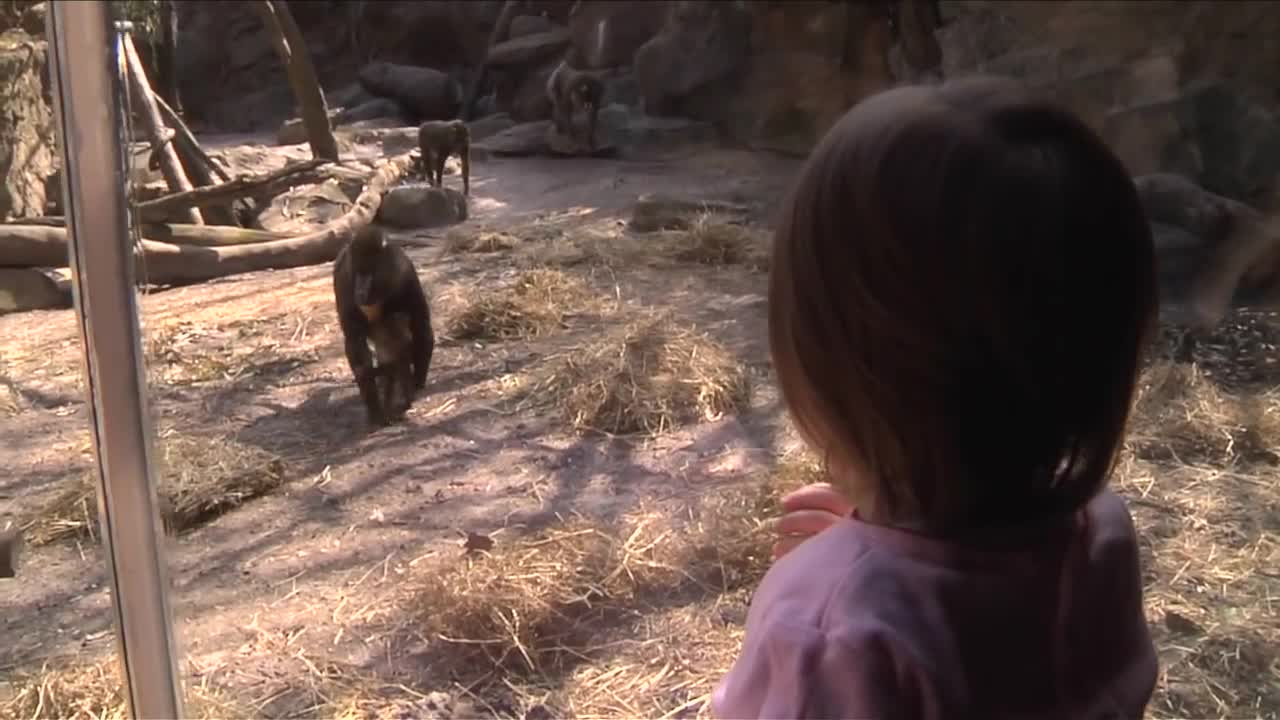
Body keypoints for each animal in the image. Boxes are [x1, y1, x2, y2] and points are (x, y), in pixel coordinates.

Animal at [330, 225, 435, 425]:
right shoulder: (345, 282)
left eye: (369, 273)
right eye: (358, 273)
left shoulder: (406, 274)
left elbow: (420, 324)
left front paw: (415, 384)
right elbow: (356, 343)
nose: (360, 290)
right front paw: (375, 409)